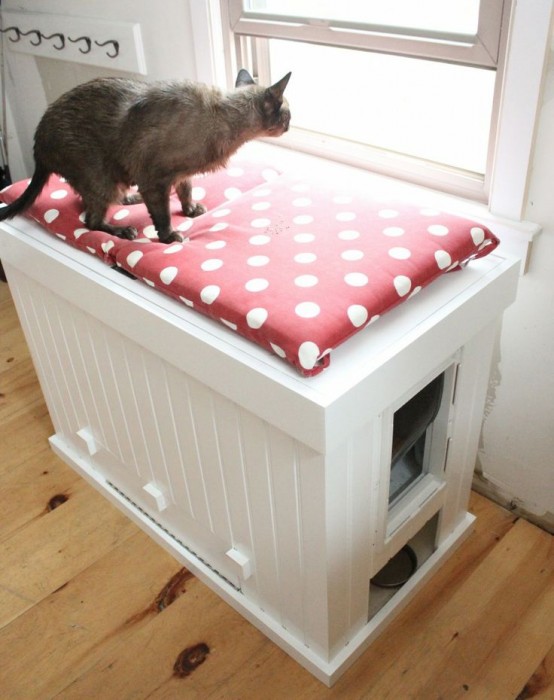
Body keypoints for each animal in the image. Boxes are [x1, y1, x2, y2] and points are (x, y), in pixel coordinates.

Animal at [0, 69, 292, 243]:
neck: (222, 117)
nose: (290, 125)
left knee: (87, 202)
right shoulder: (155, 180)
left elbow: (186, 191)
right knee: (90, 220)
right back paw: (123, 230)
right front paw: (170, 237)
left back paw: (131, 199)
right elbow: (162, 216)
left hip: (112, 178)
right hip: (100, 176)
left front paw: (190, 210)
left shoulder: (179, 175)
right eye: (288, 114)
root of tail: (38, 141)